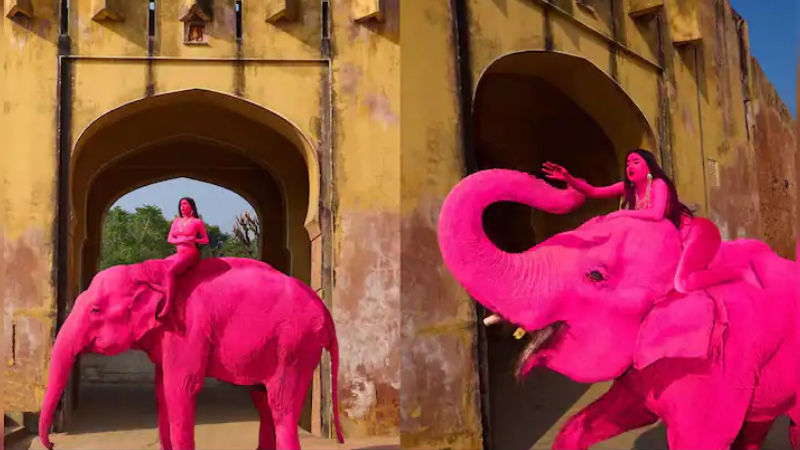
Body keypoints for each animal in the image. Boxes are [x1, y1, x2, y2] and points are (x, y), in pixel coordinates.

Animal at [39, 257, 344, 450]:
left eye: (94, 310)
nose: (52, 444)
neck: (147, 272)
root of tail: (326, 311)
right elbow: (162, 390)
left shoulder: (187, 330)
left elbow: (181, 388)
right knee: (262, 399)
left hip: (295, 344)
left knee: (281, 406)